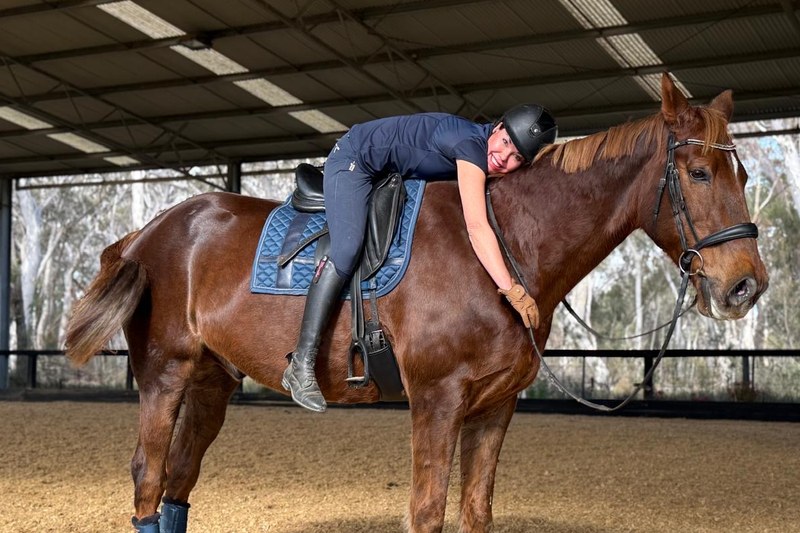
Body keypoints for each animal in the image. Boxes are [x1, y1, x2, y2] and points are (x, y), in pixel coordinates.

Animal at [65, 73, 768, 533]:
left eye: (743, 175)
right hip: (166, 373)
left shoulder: (493, 409)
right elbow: (426, 512)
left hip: (212, 381)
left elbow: (476, 511)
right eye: (699, 173)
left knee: (178, 482)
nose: (746, 286)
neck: (502, 247)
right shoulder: (437, 401)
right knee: (148, 477)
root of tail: (150, 231)